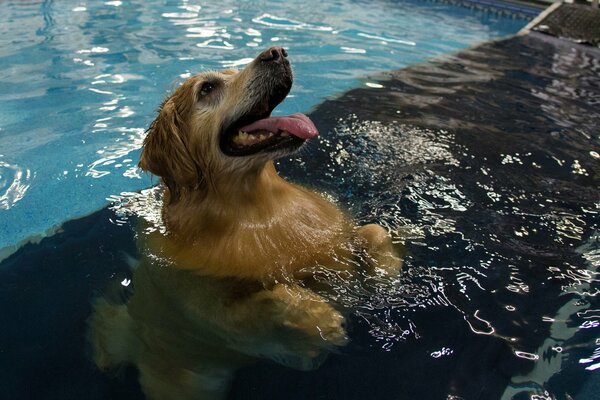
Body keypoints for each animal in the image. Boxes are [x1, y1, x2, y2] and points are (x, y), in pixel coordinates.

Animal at [90, 47, 404, 400]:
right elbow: (272, 297)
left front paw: (386, 271)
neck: (258, 209)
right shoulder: (218, 315)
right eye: (207, 89)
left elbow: (374, 231)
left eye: (232, 71)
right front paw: (318, 316)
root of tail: (132, 339)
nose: (276, 52)